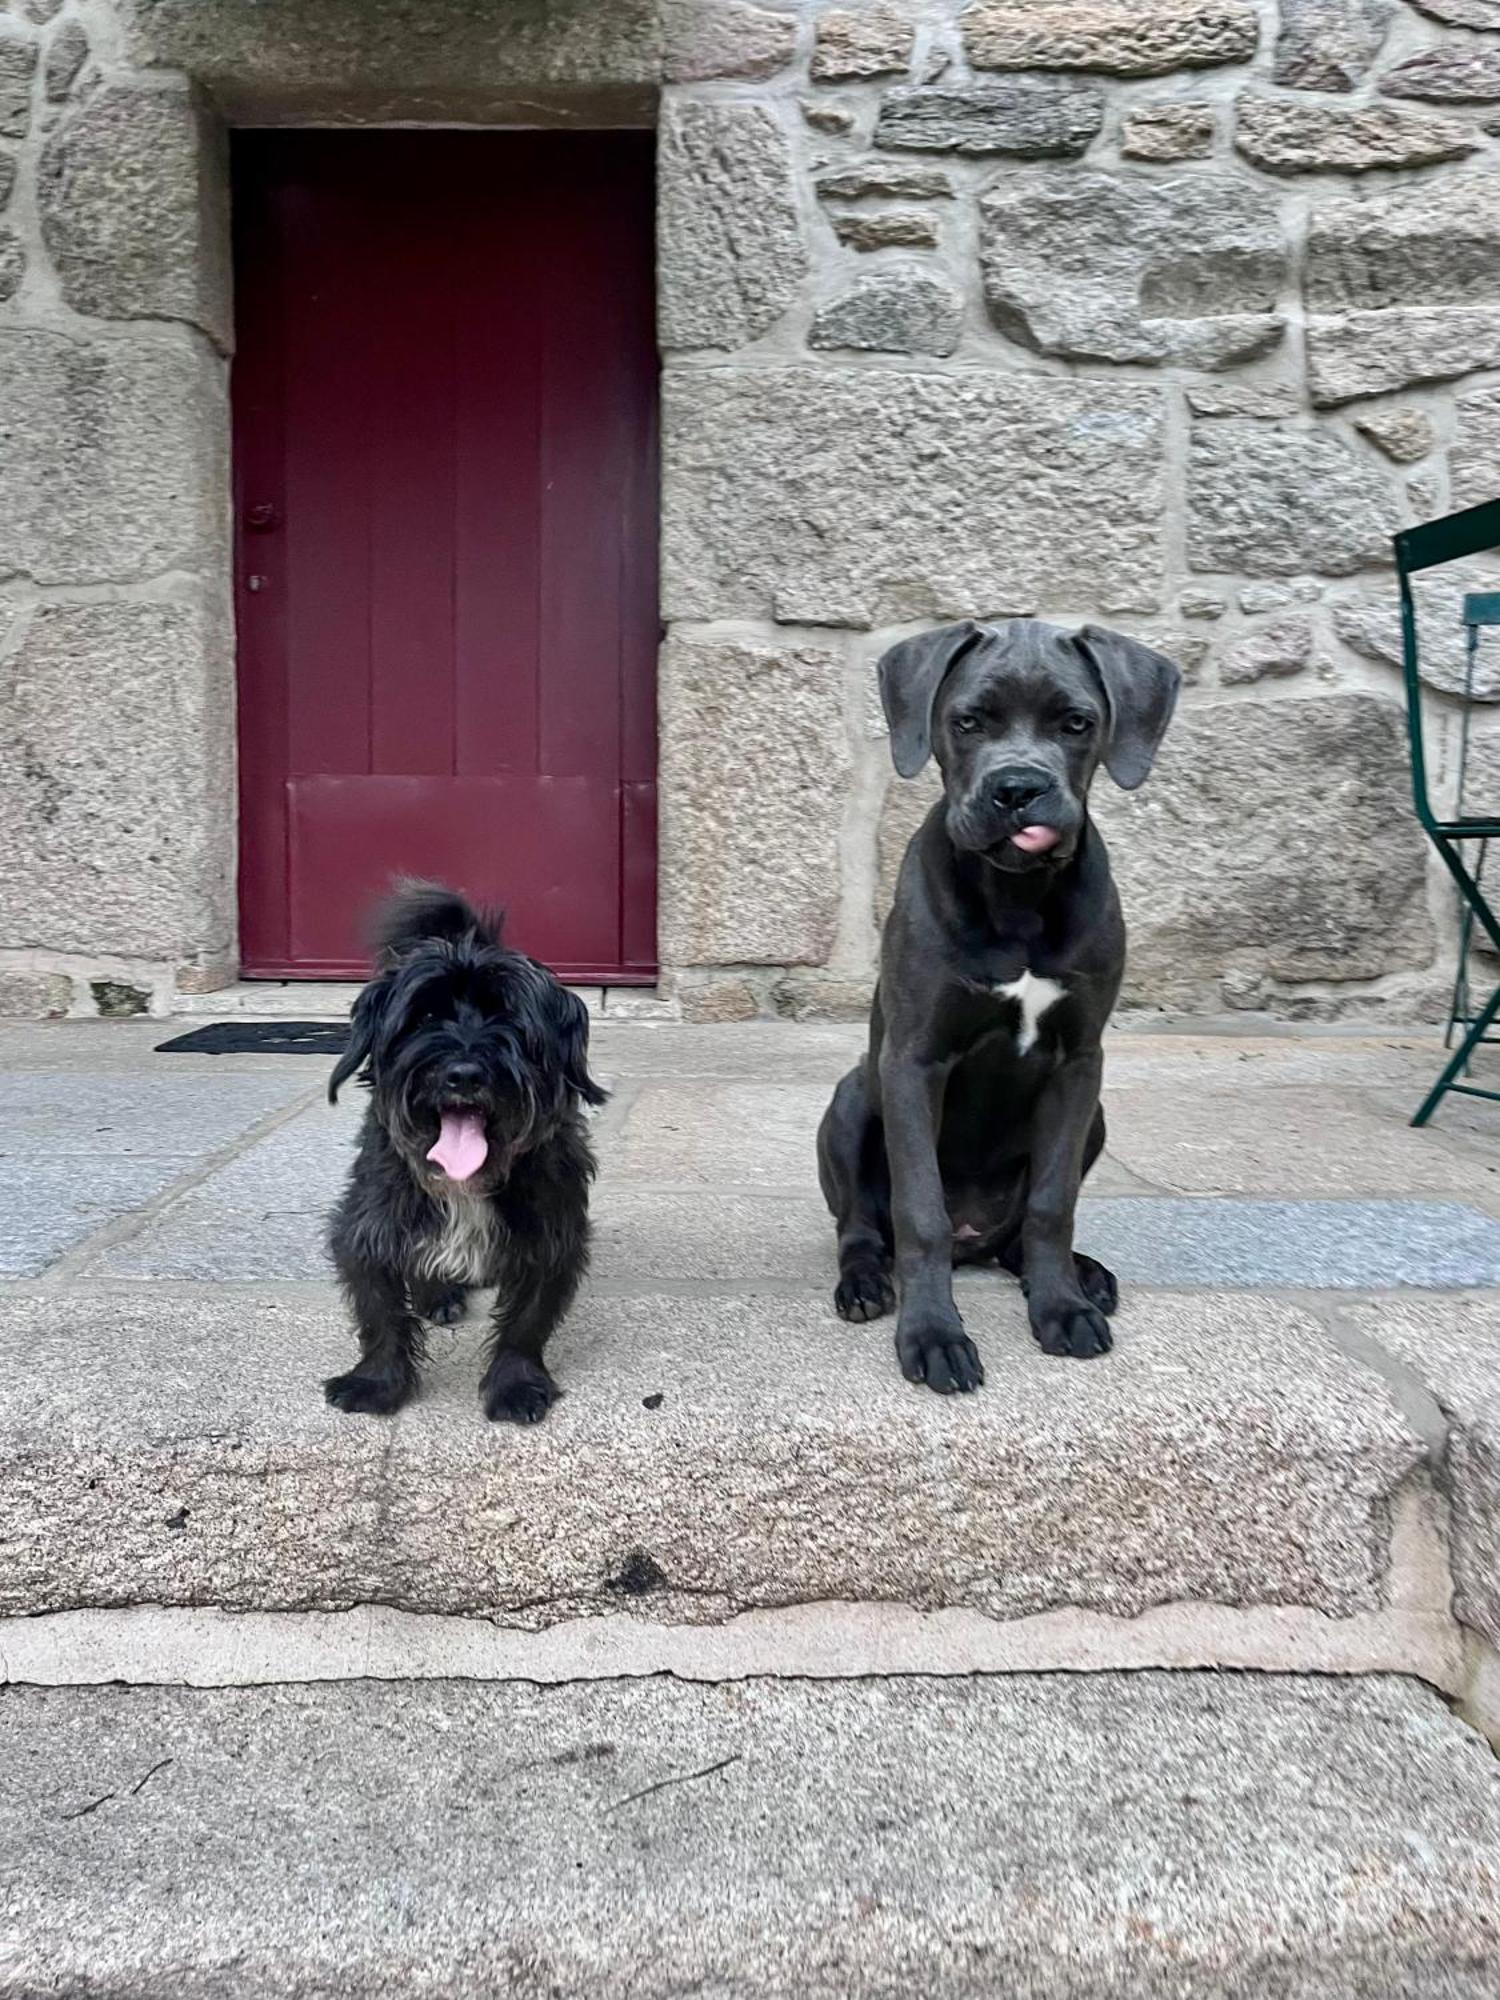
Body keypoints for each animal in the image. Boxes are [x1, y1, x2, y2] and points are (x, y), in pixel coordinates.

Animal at [326, 888, 608, 1424]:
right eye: (424, 1017)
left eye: (510, 1018)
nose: (463, 1073)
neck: (466, 1186)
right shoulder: (370, 1224)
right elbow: (379, 1312)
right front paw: (376, 1382)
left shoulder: (552, 1235)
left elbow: (525, 1323)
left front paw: (515, 1385)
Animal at [824, 620, 1184, 1392]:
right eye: (968, 722)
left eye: (1077, 723)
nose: (1018, 788)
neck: (1017, 896)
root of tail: (976, 1243)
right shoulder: (913, 1060)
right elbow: (920, 1210)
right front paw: (933, 1335)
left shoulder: (1080, 1065)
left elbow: (1053, 1204)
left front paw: (1061, 1309)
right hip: (850, 1100)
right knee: (862, 1226)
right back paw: (865, 1282)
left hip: (1094, 1120)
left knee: (1021, 1234)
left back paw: (1080, 1278)